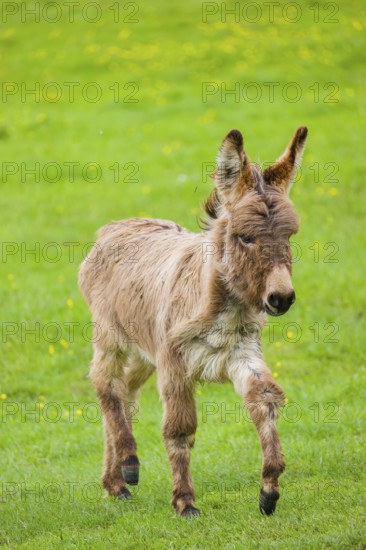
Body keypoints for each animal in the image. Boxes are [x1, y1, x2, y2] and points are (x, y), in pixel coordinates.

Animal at [78, 127, 308, 520]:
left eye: (288, 236)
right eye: (246, 237)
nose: (281, 298)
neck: (221, 306)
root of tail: (114, 227)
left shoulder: (241, 355)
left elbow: (265, 402)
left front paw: (269, 490)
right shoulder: (174, 364)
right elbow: (180, 430)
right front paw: (185, 502)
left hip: (144, 352)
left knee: (125, 392)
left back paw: (116, 481)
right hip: (112, 335)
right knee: (105, 383)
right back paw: (129, 462)